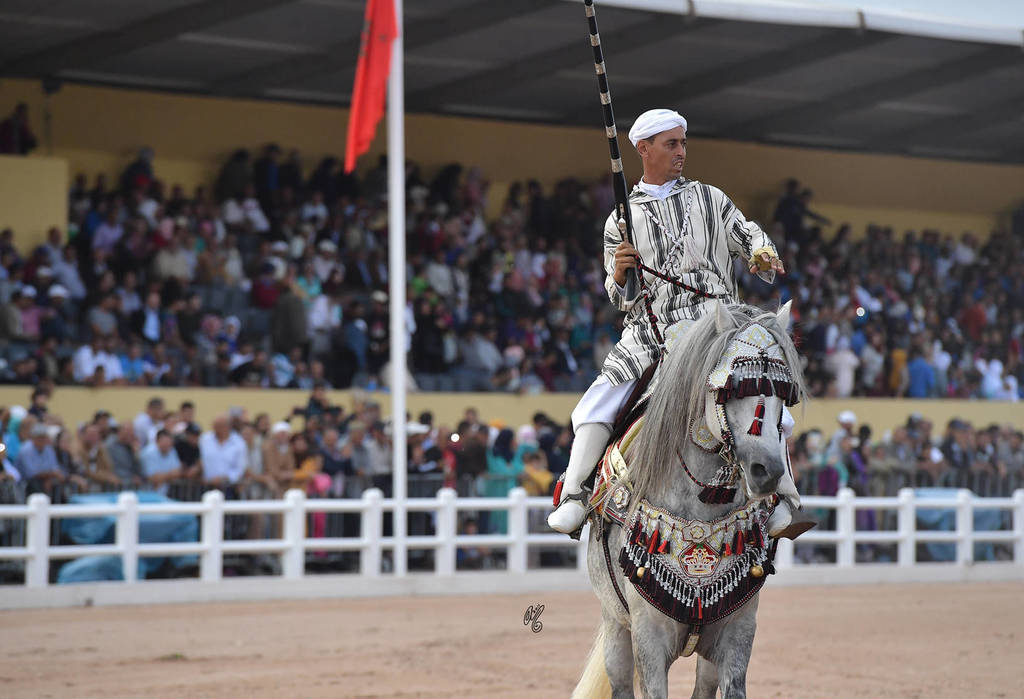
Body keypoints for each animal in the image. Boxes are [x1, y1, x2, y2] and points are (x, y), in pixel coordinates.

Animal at [572, 301, 807, 699]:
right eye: (731, 390)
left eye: (783, 393)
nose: (768, 470)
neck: (701, 507)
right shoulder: (648, 638)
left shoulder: (737, 632)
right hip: (616, 629)